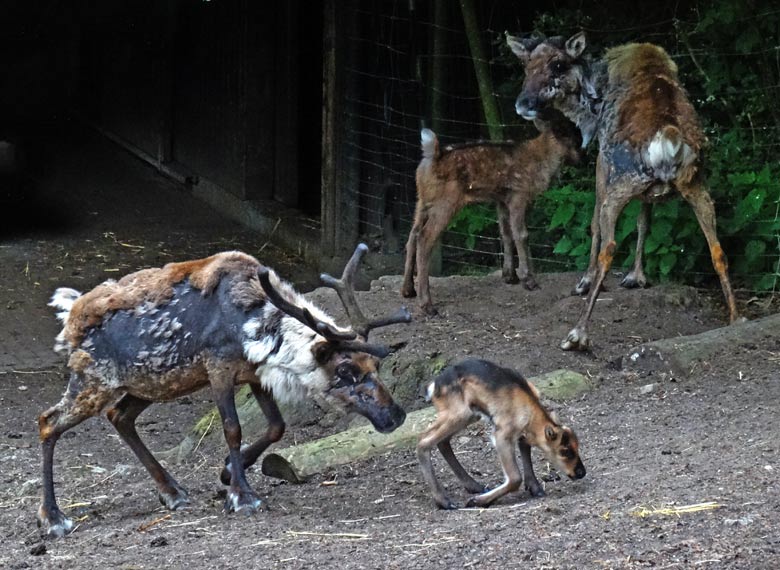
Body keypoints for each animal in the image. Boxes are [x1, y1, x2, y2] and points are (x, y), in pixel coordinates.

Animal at [402, 110, 580, 316]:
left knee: (412, 235)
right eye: (571, 134)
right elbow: (522, 235)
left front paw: (510, 276)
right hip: (445, 202)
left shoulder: (501, 199)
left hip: (422, 201)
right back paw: (427, 305)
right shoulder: (519, 194)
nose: (581, 156)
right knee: (424, 238)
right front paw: (528, 280)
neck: (542, 162)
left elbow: (506, 234)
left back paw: (408, 290)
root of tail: (432, 156)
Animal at [418, 358, 580, 508]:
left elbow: (525, 449)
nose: (581, 472)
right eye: (565, 450)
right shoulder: (502, 433)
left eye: (577, 447)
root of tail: (433, 387)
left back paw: (474, 486)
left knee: (442, 441)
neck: (530, 413)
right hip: (459, 413)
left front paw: (535, 488)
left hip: (468, 415)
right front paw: (476, 501)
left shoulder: (521, 433)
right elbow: (515, 478)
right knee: (424, 441)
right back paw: (444, 501)